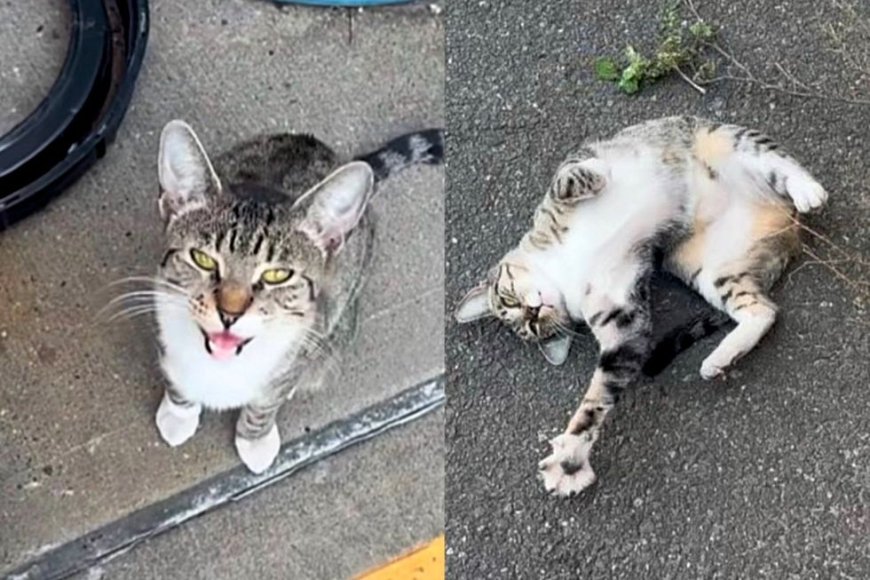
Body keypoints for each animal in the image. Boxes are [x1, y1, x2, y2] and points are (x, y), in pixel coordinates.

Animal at [151, 120, 446, 474]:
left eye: (277, 275)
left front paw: (255, 440)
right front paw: (178, 414)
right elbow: (175, 379)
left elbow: (265, 404)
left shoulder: (303, 347)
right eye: (203, 259)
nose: (229, 313)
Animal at [456, 115, 832, 496]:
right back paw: (722, 357)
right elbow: (598, 397)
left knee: (777, 160)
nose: (532, 312)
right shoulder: (622, 322)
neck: (566, 272)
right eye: (533, 329)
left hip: (724, 139)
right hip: (706, 267)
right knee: (764, 310)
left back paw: (807, 190)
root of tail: (786, 222)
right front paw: (571, 456)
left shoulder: (565, 185)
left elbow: (569, 177)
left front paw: (593, 174)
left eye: (508, 299)